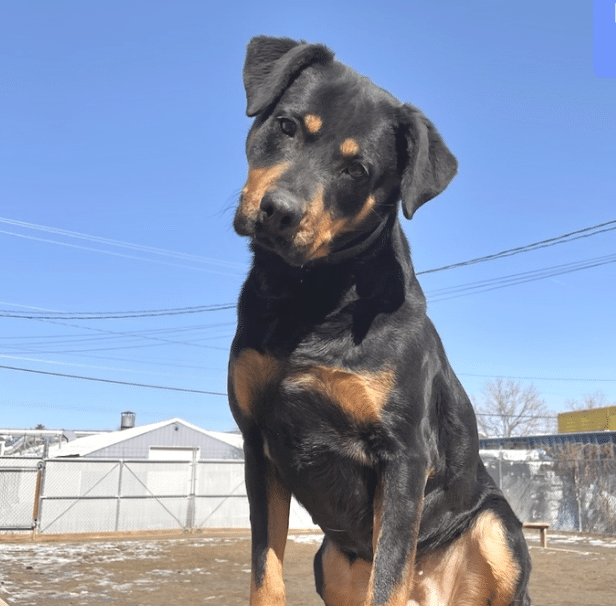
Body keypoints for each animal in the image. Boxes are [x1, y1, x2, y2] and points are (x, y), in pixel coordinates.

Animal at [229, 36, 532, 606]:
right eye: (286, 126)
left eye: (357, 170)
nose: (279, 211)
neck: (311, 295)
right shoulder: (257, 443)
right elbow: (264, 570)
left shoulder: (404, 456)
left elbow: (388, 576)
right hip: (329, 558)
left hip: (497, 532)